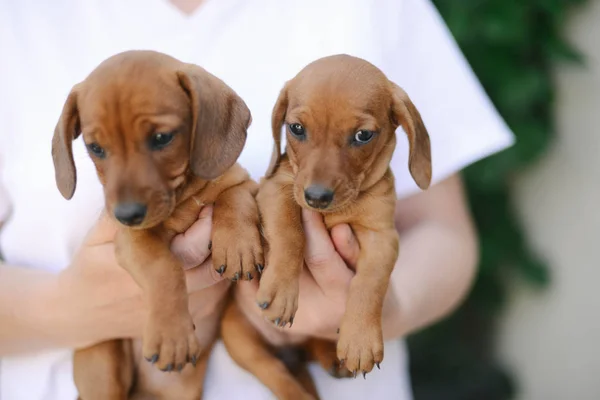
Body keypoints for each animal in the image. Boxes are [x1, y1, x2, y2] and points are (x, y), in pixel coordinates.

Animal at [52, 50, 264, 400]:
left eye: (162, 138)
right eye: (96, 148)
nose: (126, 215)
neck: (182, 196)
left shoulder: (241, 181)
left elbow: (234, 199)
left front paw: (238, 245)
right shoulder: (132, 240)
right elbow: (163, 268)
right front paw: (171, 334)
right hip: (102, 361)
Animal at [220, 54, 432, 400]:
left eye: (363, 136)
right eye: (296, 128)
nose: (316, 197)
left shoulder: (383, 237)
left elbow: (371, 282)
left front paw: (360, 338)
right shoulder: (277, 190)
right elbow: (290, 232)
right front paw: (282, 290)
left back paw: (331, 354)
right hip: (238, 338)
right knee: (277, 374)